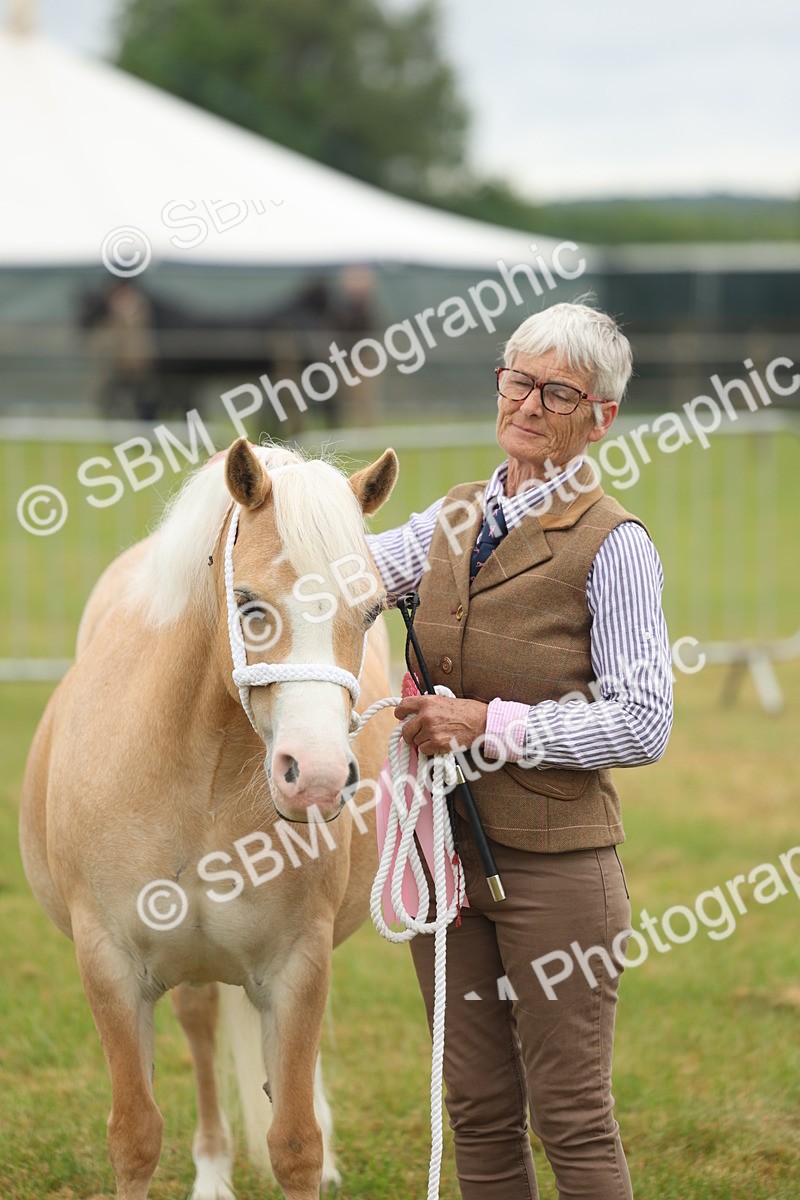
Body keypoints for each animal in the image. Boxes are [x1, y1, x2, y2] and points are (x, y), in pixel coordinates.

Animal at [19, 437, 399, 1200]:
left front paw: (314, 1152)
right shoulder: (108, 963)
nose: (317, 775)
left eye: (372, 611)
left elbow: (294, 1143)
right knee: (198, 1029)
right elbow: (135, 1137)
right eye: (249, 606)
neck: (202, 778)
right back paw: (213, 1171)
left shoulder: (297, 965)